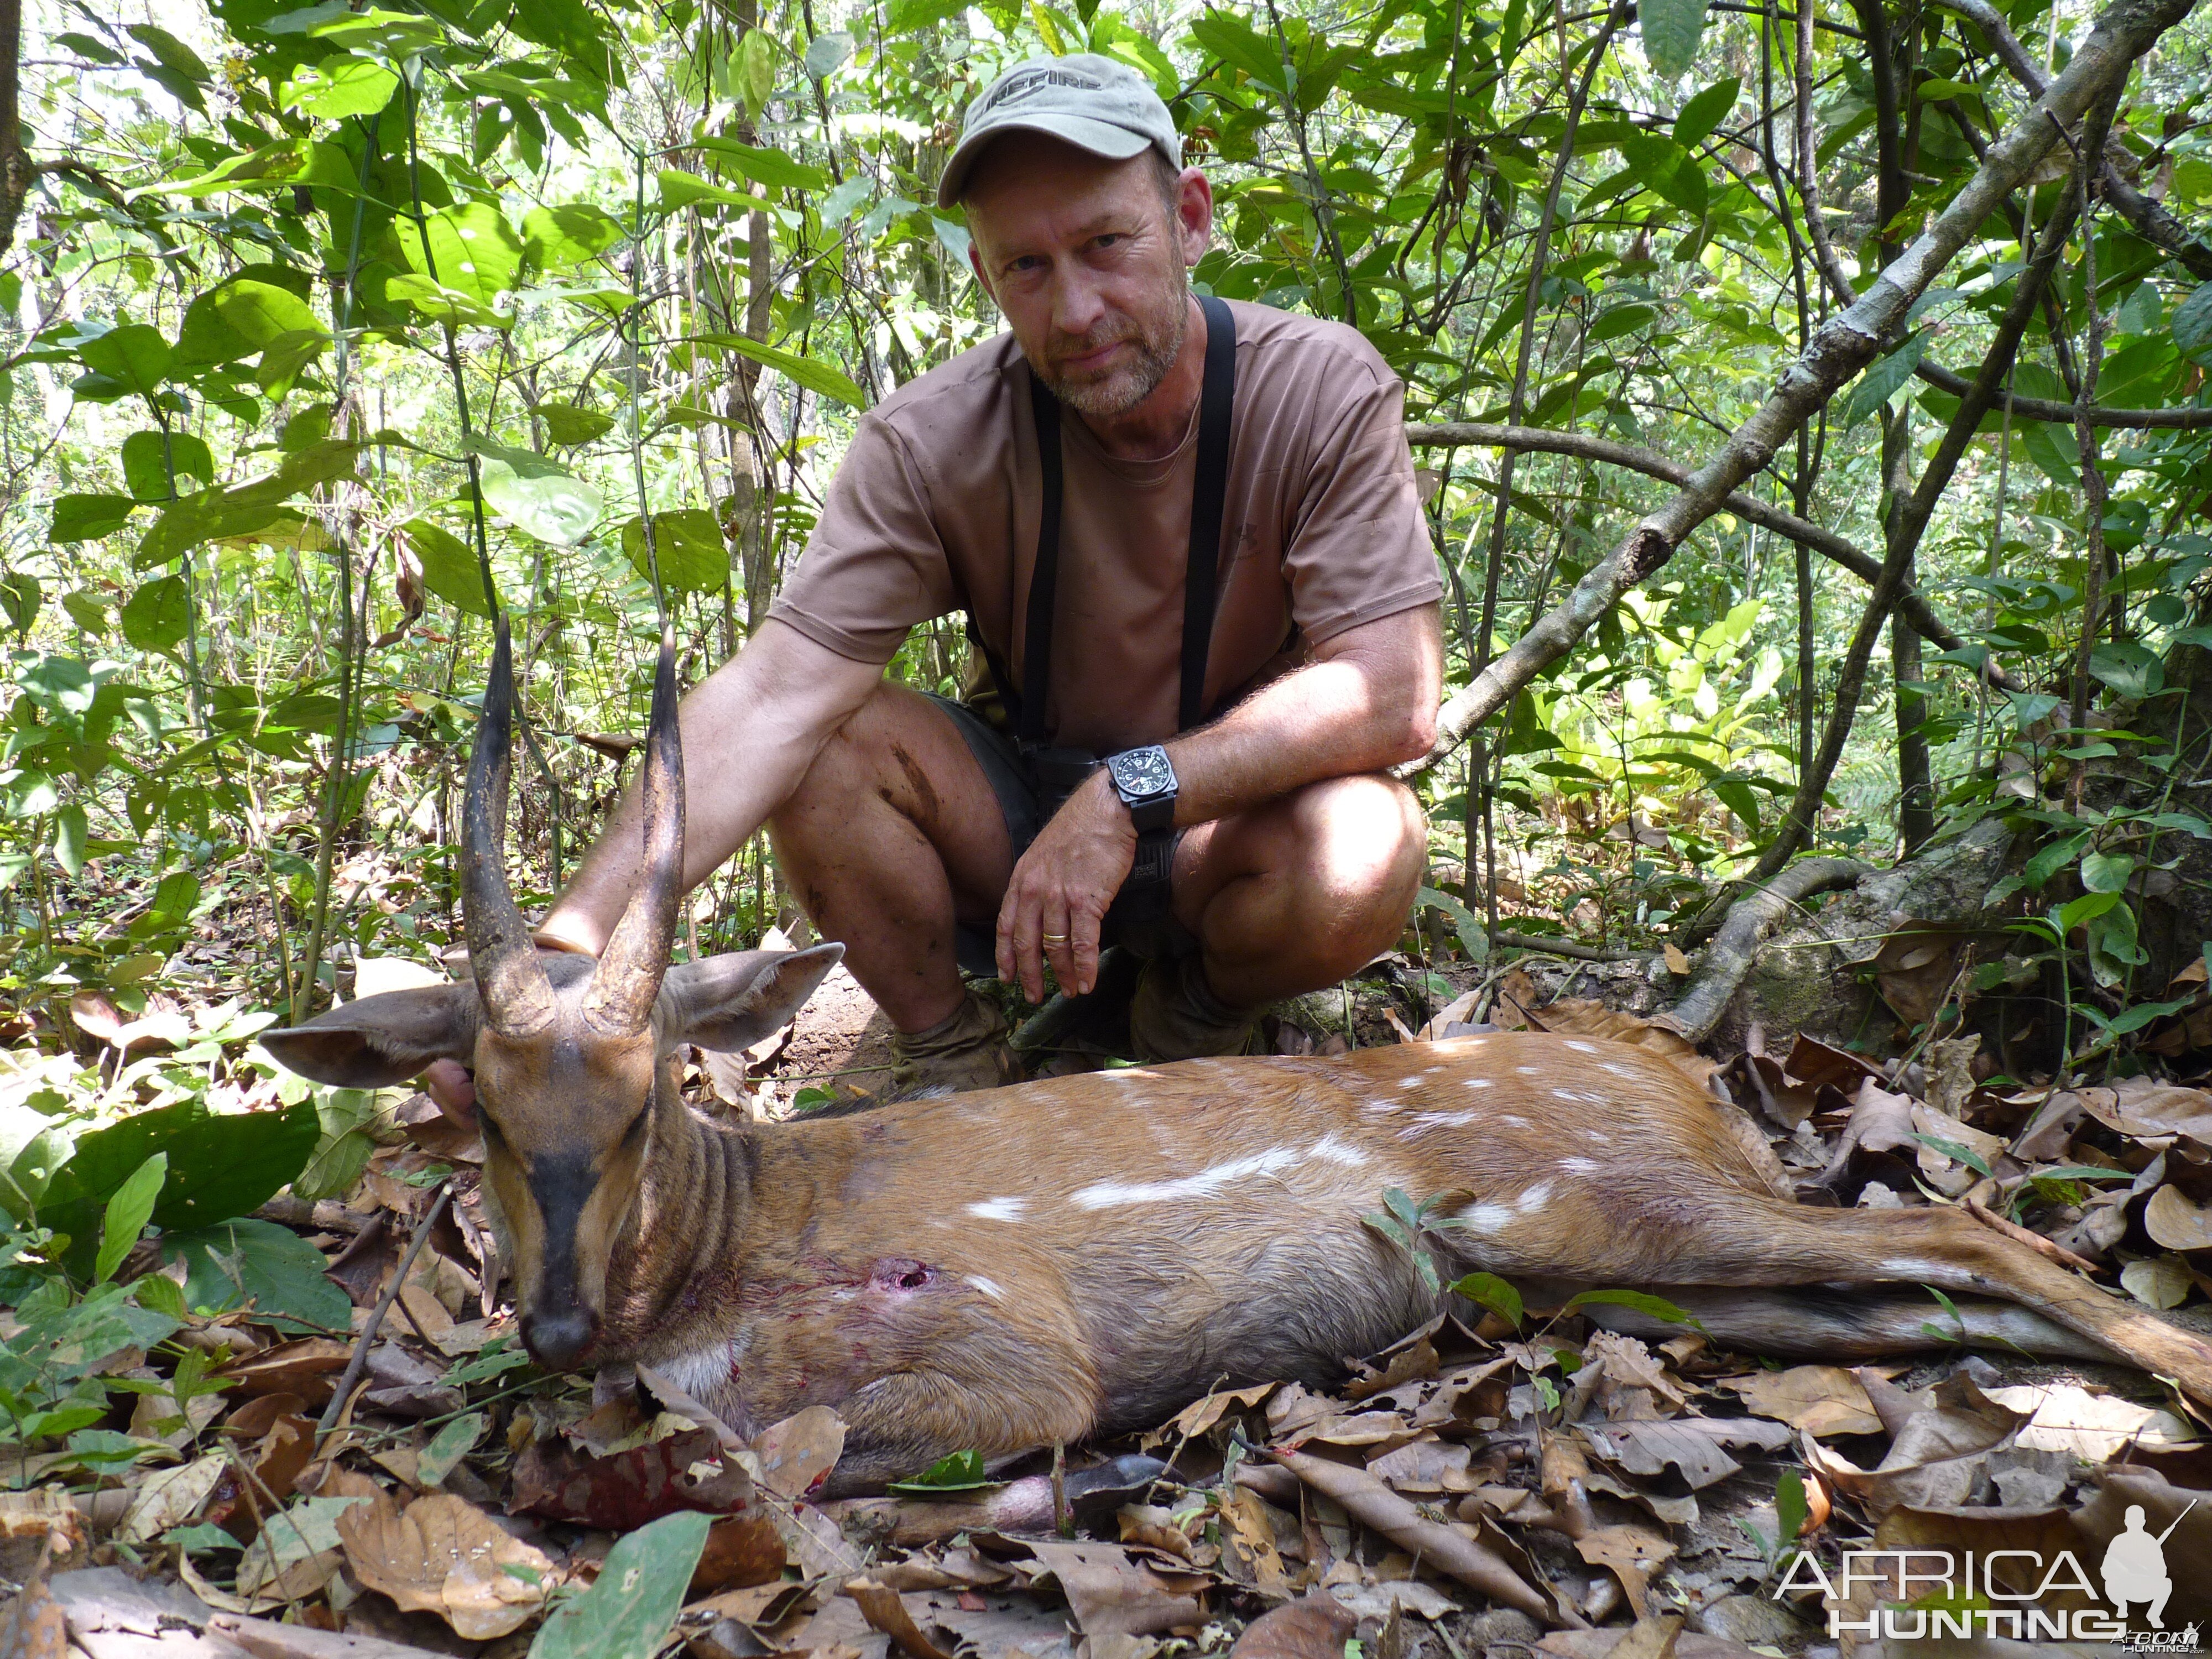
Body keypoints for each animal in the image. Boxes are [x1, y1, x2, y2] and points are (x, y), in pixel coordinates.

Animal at [263, 633, 2212, 1495]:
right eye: (471, 1109)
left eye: (652, 1096)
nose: (554, 1324)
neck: (731, 1261)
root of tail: (1677, 1063)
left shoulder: (1009, 1334)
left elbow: (782, 1454)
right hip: (1617, 1266)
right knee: (1914, 1300)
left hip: (1611, 1196)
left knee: (1964, 1234)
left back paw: (2175, 1373)